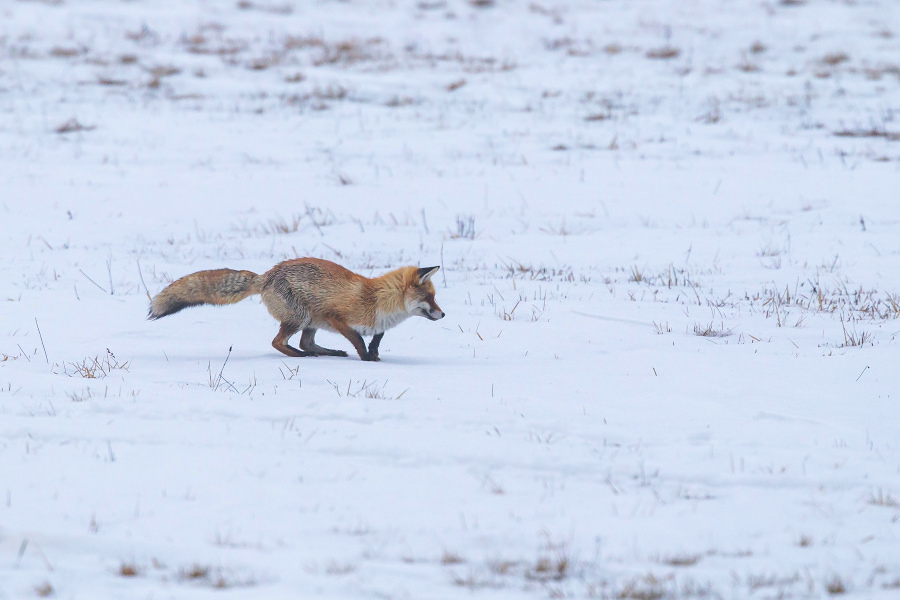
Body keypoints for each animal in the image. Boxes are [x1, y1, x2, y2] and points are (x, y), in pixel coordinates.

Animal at [150, 258, 446, 360]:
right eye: (429, 298)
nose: (443, 314)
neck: (377, 300)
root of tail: (267, 275)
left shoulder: (375, 327)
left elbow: (375, 340)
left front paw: (374, 357)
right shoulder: (336, 317)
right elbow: (359, 340)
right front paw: (365, 360)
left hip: (311, 322)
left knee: (306, 343)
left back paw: (328, 353)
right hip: (302, 317)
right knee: (279, 343)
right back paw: (300, 356)